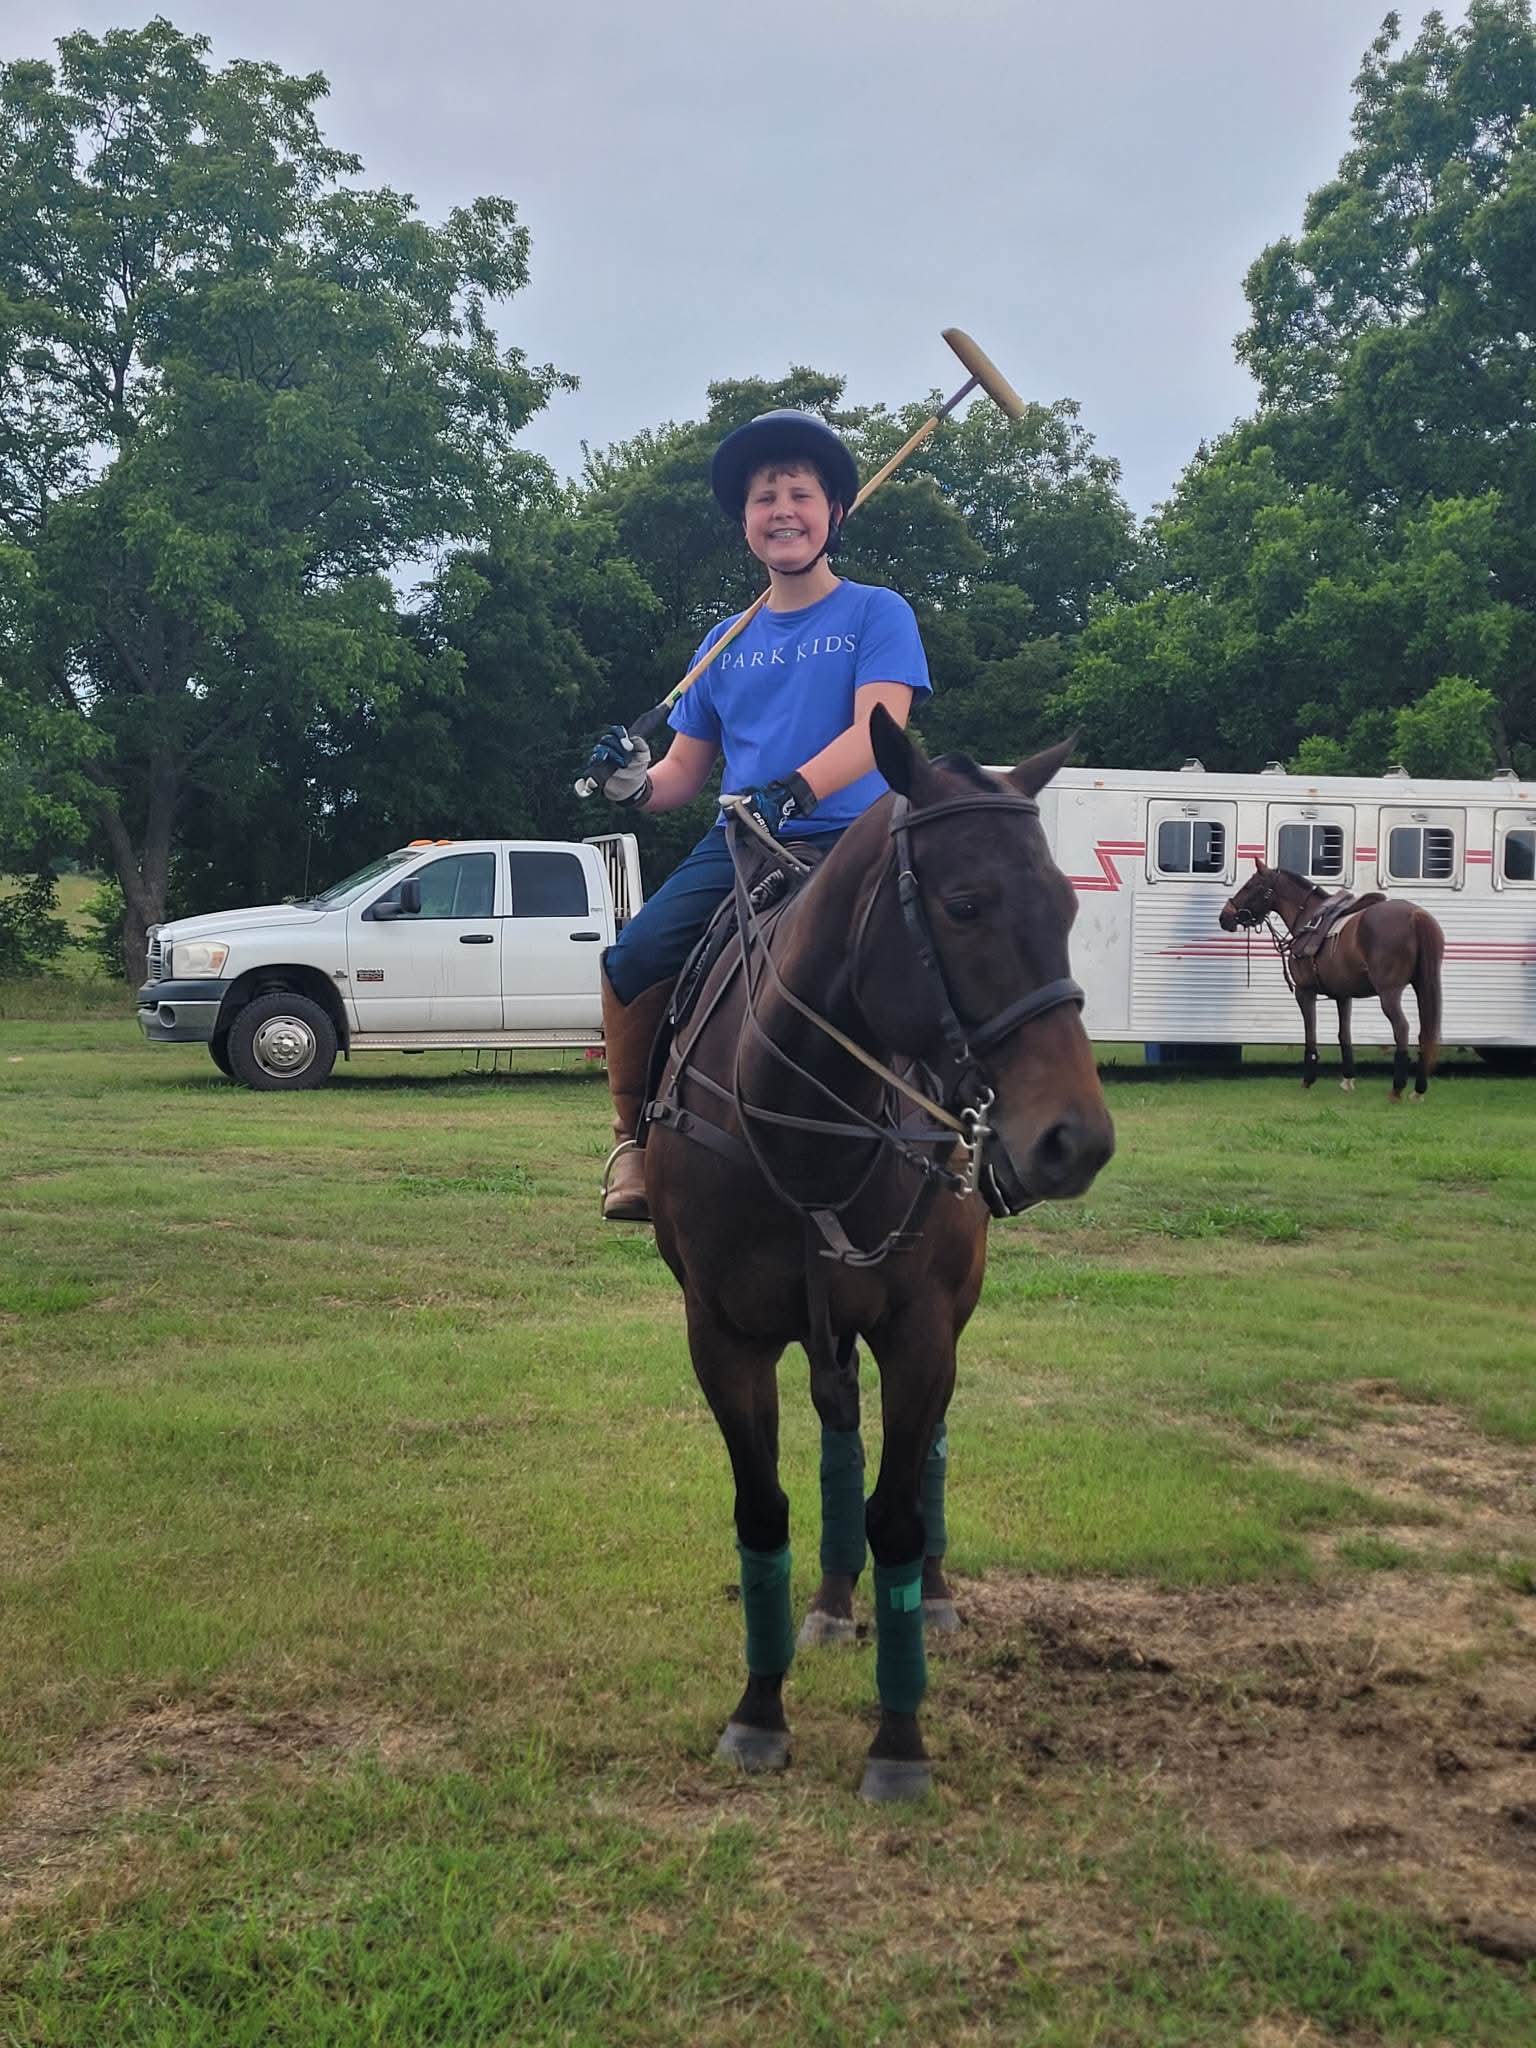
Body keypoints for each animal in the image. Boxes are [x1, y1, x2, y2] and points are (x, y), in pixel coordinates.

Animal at [643, 706, 1115, 1801]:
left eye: (1070, 903)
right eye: (964, 903)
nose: (1073, 1140)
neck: (804, 1121)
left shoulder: (921, 1329)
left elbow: (898, 1508)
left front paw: (899, 1739)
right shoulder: (721, 1336)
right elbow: (764, 1509)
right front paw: (759, 1710)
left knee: (925, 1449)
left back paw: (930, 1595)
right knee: (838, 1437)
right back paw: (826, 1601)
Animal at [1218, 861, 1445, 1100]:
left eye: (1251, 886)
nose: (1224, 916)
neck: (1308, 919)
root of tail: (1416, 916)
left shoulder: (1305, 991)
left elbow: (1310, 1035)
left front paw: (1308, 1080)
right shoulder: (1343, 996)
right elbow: (1344, 1035)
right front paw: (1347, 1079)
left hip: (1389, 992)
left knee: (1401, 1028)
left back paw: (1397, 1088)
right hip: (1422, 986)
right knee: (1425, 1034)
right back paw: (1418, 1089)